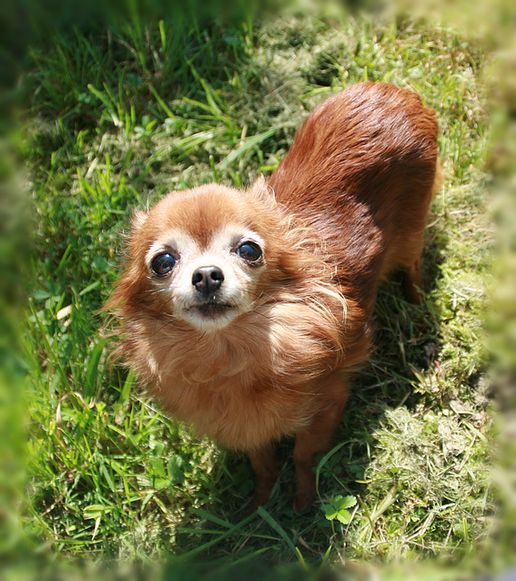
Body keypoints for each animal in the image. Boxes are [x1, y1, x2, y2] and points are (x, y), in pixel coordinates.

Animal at [107, 82, 439, 510]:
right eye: (163, 261)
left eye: (249, 250)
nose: (207, 275)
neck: (229, 355)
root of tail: (396, 92)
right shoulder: (245, 427)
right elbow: (261, 463)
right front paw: (261, 504)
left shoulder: (326, 405)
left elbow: (302, 456)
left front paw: (302, 502)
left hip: (413, 228)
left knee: (412, 261)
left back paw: (414, 297)